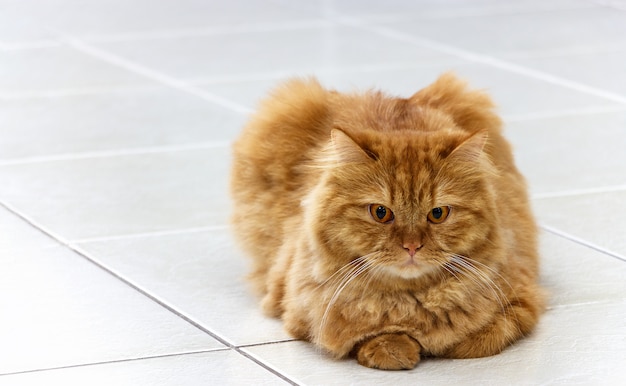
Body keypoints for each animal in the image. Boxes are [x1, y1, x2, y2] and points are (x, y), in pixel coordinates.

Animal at [229, 74, 540, 370]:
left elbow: (477, 338)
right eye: (381, 212)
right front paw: (393, 347)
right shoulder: (300, 310)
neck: (410, 302)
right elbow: (364, 336)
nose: (412, 246)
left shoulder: (521, 301)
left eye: (438, 214)